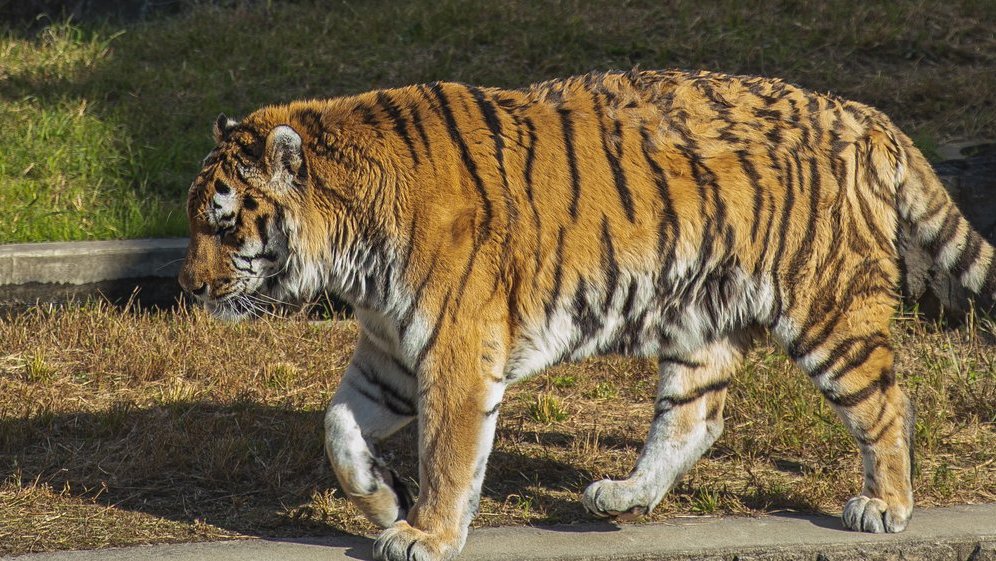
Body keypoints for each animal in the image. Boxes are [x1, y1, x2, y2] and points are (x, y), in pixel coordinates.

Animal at [179, 69, 996, 560]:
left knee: (886, 403)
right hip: (699, 316)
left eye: (223, 224)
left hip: (828, 308)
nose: (188, 285)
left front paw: (426, 531)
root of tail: (863, 113)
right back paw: (623, 495)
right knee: (694, 417)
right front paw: (385, 502)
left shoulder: (454, 351)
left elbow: (448, 453)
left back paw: (885, 505)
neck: (351, 254)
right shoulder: (389, 354)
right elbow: (337, 428)